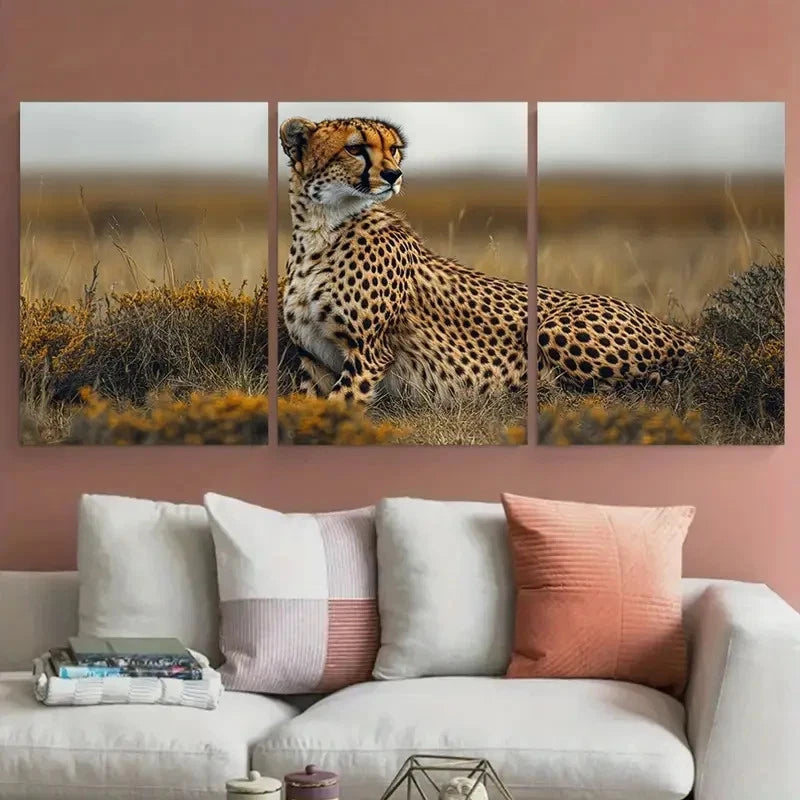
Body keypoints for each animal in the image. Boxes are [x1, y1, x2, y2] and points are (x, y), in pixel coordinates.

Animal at [279, 115, 695, 407]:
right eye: (355, 149)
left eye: (394, 149)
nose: (394, 174)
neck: (320, 230)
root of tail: (678, 330)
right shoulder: (314, 358)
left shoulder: (367, 353)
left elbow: (340, 404)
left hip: (554, 329)